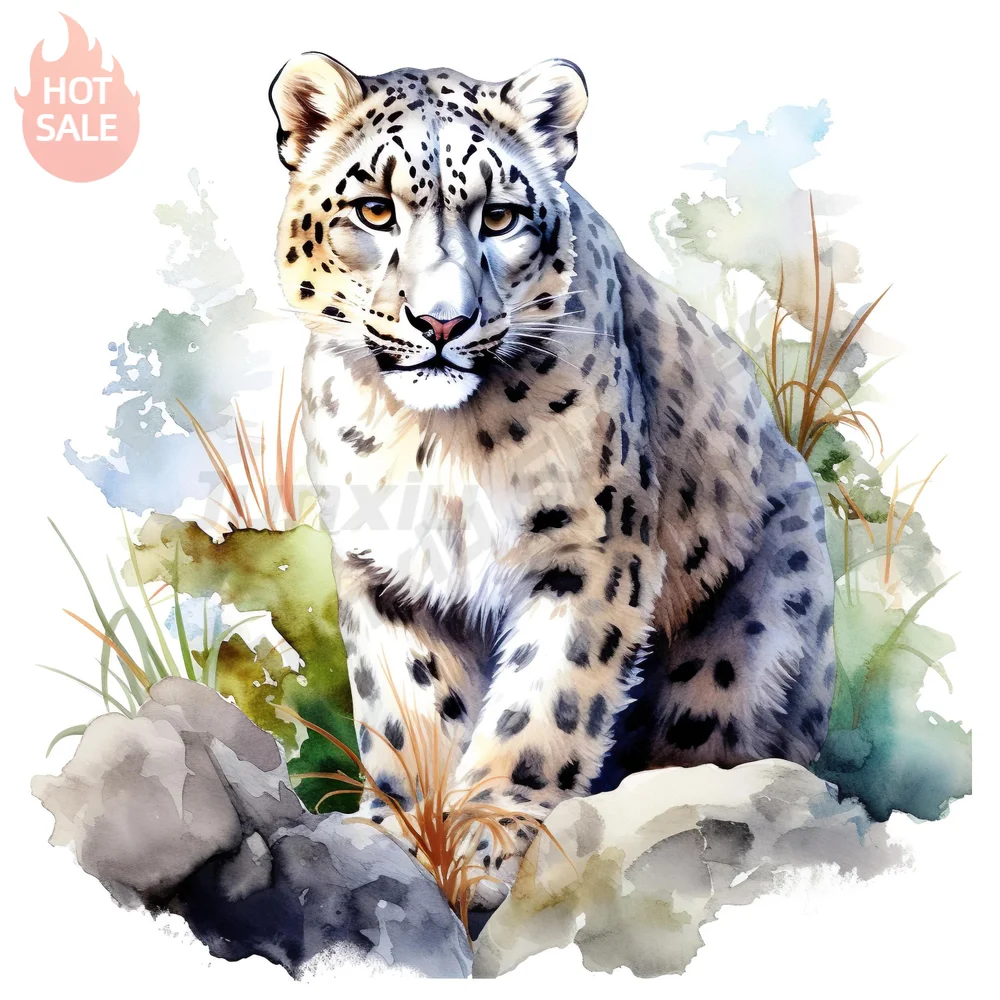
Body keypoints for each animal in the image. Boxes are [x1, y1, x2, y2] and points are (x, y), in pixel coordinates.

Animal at [268, 53, 835, 910]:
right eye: (373, 210)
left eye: (500, 218)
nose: (442, 322)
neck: (434, 445)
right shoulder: (386, 569)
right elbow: (408, 708)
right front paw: (406, 830)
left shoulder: (592, 550)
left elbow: (545, 701)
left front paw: (486, 835)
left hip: (748, 656)